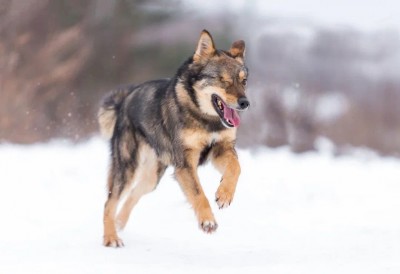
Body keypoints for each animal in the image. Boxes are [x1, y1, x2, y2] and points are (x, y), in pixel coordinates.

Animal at [98, 29, 248, 246]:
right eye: (223, 80)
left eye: (244, 81)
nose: (245, 102)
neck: (205, 118)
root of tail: (124, 101)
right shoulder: (185, 164)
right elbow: (198, 194)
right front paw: (207, 222)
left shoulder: (221, 148)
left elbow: (236, 168)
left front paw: (224, 194)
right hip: (127, 169)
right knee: (109, 202)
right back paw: (111, 237)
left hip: (152, 177)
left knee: (133, 195)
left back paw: (119, 224)